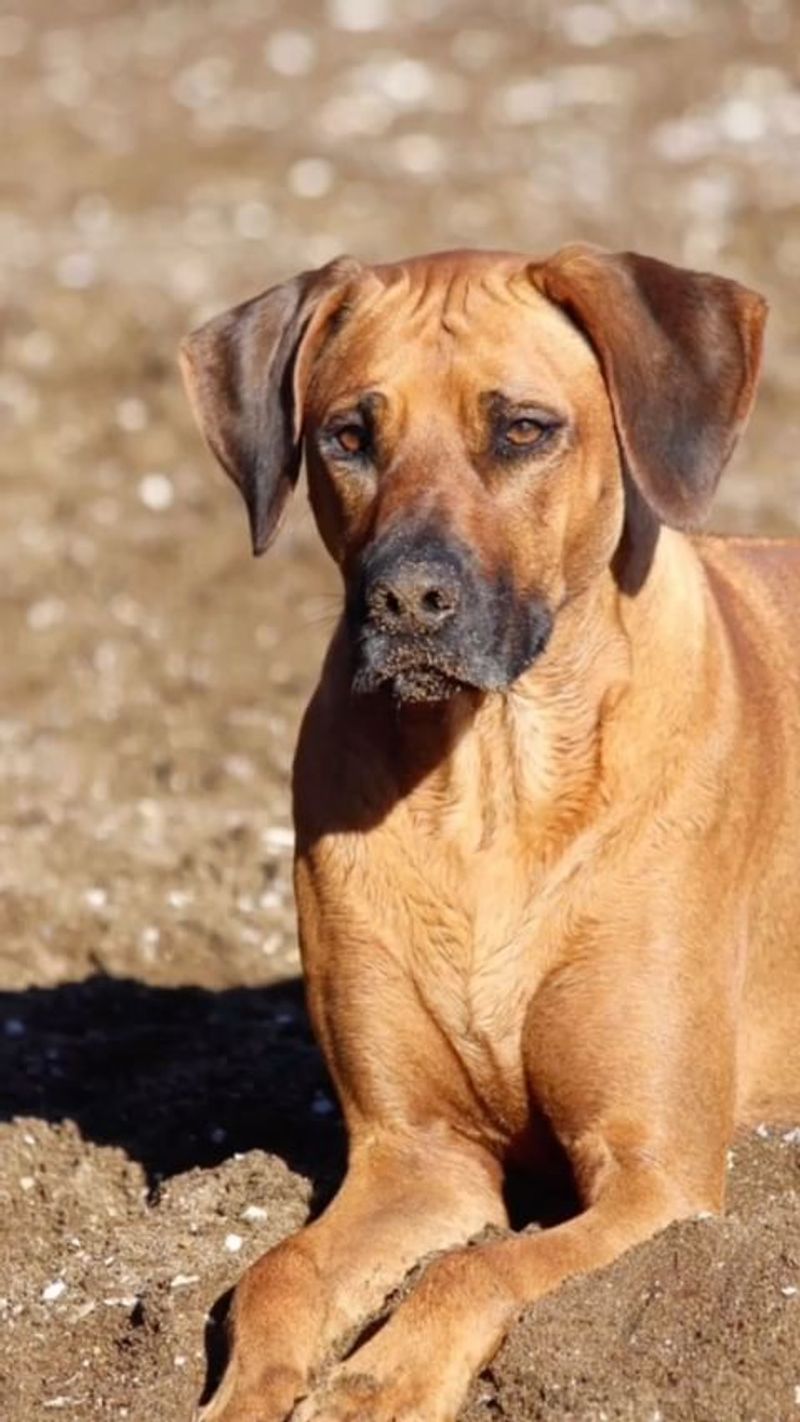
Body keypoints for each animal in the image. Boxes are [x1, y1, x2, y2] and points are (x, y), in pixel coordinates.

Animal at [181, 247, 800, 1422]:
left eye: (520, 429)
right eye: (347, 435)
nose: (406, 600)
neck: (490, 784)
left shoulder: (655, 1173)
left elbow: (478, 1268)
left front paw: (376, 1385)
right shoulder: (416, 1155)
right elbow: (277, 1276)